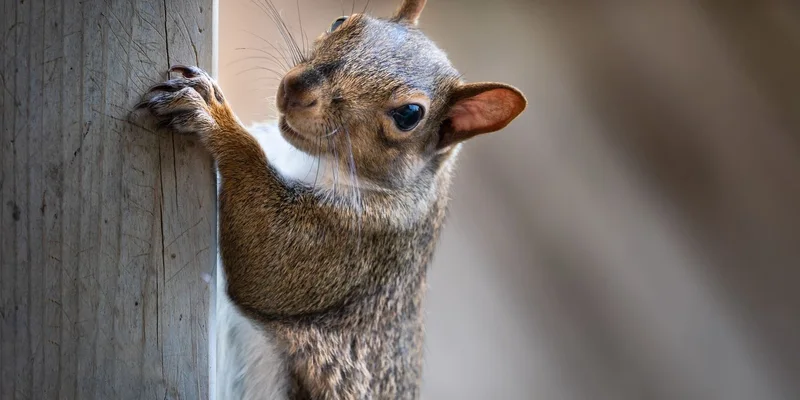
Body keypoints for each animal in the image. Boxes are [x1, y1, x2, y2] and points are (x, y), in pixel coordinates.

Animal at [137, 0, 526, 398]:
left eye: (409, 115)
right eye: (341, 22)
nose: (296, 87)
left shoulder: (359, 241)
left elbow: (267, 260)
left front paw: (215, 117)